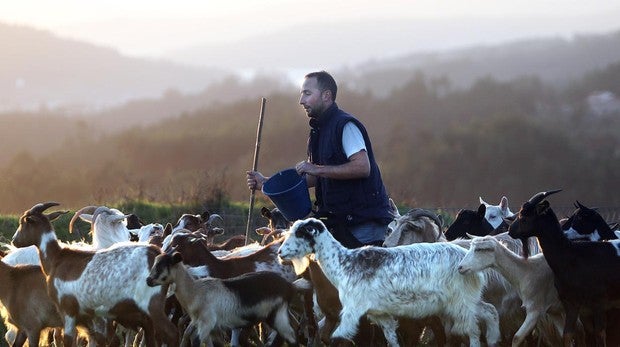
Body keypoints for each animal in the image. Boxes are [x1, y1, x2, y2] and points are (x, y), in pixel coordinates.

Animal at [145, 253, 300, 347]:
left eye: (161, 266)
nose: (148, 280)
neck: (195, 291)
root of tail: (289, 286)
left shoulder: (207, 323)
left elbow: (195, 340)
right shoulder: (206, 326)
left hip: (277, 314)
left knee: (291, 336)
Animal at [278, 219, 502, 346]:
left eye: (300, 233)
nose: (280, 252)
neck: (344, 263)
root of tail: (467, 259)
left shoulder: (352, 309)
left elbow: (336, 339)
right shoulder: (380, 314)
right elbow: (391, 339)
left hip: (460, 301)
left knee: (473, 331)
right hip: (464, 299)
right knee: (490, 311)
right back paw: (493, 339)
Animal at [508, 190, 620, 347]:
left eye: (525, 215)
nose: (510, 230)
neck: (573, 255)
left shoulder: (599, 302)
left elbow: (600, 335)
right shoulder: (571, 302)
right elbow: (567, 335)